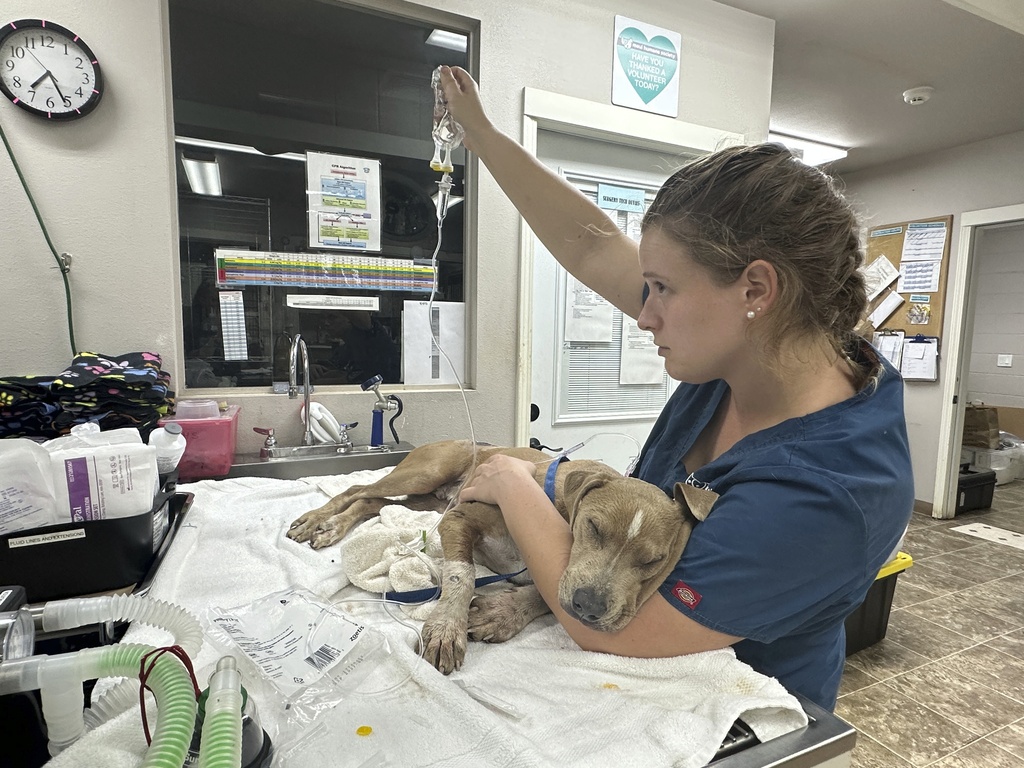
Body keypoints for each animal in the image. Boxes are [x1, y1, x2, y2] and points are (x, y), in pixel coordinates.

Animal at [284, 438, 716, 671]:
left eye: (652, 560)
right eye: (593, 527)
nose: (590, 608)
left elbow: (544, 593)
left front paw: (503, 613)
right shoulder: (458, 518)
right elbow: (461, 574)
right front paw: (447, 628)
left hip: (430, 501)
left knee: (371, 502)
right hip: (426, 475)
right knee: (357, 489)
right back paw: (318, 522)